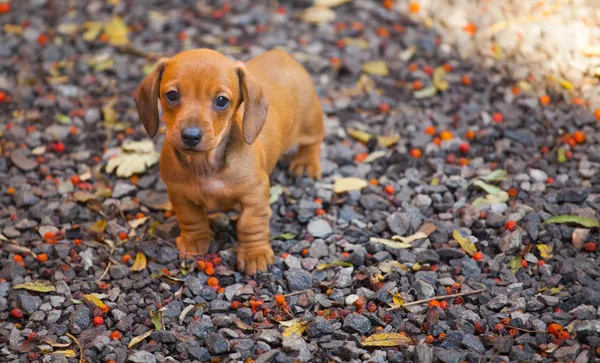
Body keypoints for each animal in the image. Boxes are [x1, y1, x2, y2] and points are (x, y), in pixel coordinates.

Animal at [134, 49, 326, 276]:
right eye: (172, 95)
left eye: (222, 100)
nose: (191, 136)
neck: (204, 165)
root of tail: (281, 54)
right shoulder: (178, 193)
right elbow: (191, 217)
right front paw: (194, 241)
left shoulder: (255, 197)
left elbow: (250, 225)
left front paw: (254, 255)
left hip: (310, 121)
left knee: (313, 142)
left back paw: (306, 163)